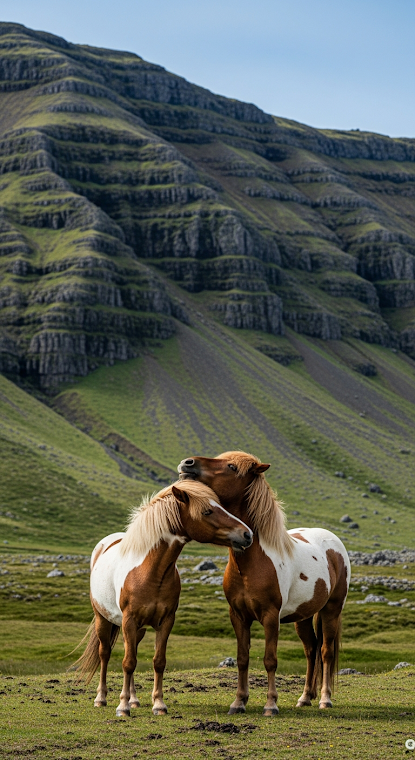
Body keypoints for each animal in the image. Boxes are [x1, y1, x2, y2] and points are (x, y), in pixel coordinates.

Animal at [72, 478, 252, 717]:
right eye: (207, 511)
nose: (247, 534)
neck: (150, 571)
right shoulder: (129, 621)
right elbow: (127, 663)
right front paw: (122, 707)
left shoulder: (165, 621)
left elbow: (157, 661)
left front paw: (157, 704)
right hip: (104, 620)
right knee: (105, 653)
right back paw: (101, 698)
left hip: (137, 629)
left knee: (132, 651)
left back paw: (134, 700)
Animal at [178, 451, 350, 716]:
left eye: (231, 466)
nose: (187, 463)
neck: (252, 561)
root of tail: (332, 541)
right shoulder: (238, 616)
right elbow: (242, 658)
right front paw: (238, 702)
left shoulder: (270, 616)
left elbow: (270, 660)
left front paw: (270, 705)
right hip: (302, 617)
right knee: (311, 651)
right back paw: (305, 698)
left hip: (332, 610)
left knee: (326, 652)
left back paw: (324, 699)